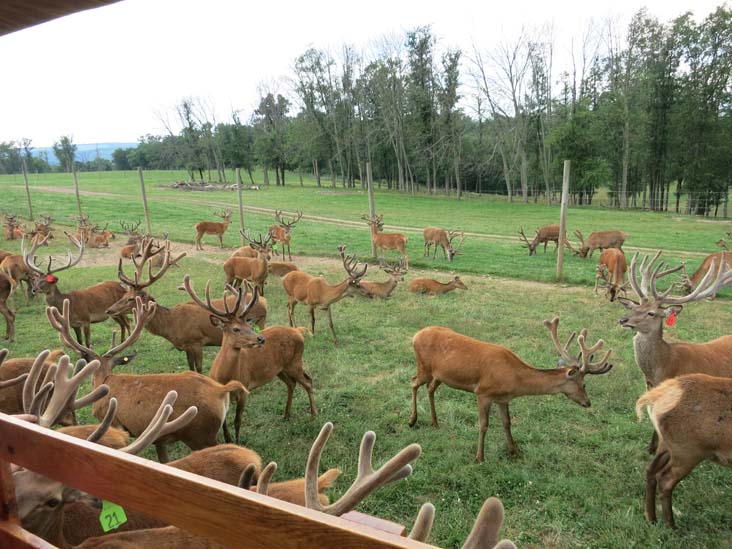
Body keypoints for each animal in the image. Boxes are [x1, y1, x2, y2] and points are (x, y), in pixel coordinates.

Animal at [183, 275, 316, 441]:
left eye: (249, 325)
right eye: (235, 329)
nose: (261, 339)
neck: (225, 376)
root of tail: (298, 331)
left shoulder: (244, 390)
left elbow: (237, 421)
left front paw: (238, 442)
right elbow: (224, 422)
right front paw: (228, 440)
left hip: (295, 362)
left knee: (308, 381)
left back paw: (313, 415)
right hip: (280, 369)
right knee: (291, 384)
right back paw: (286, 415)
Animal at [409, 317, 613, 462]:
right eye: (583, 384)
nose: (588, 402)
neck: (514, 380)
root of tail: (415, 336)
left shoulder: (503, 398)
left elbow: (507, 423)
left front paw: (514, 452)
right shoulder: (483, 392)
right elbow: (484, 425)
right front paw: (480, 457)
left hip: (439, 375)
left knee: (429, 388)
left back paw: (435, 422)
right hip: (424, 366)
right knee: (413, 382)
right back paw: (412, 420)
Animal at [636, 373, 732, 529]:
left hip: (667, 446)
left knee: (650, 469)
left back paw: (651, 518)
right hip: (688, 452)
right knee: (665, 480)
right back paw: (671, 526)